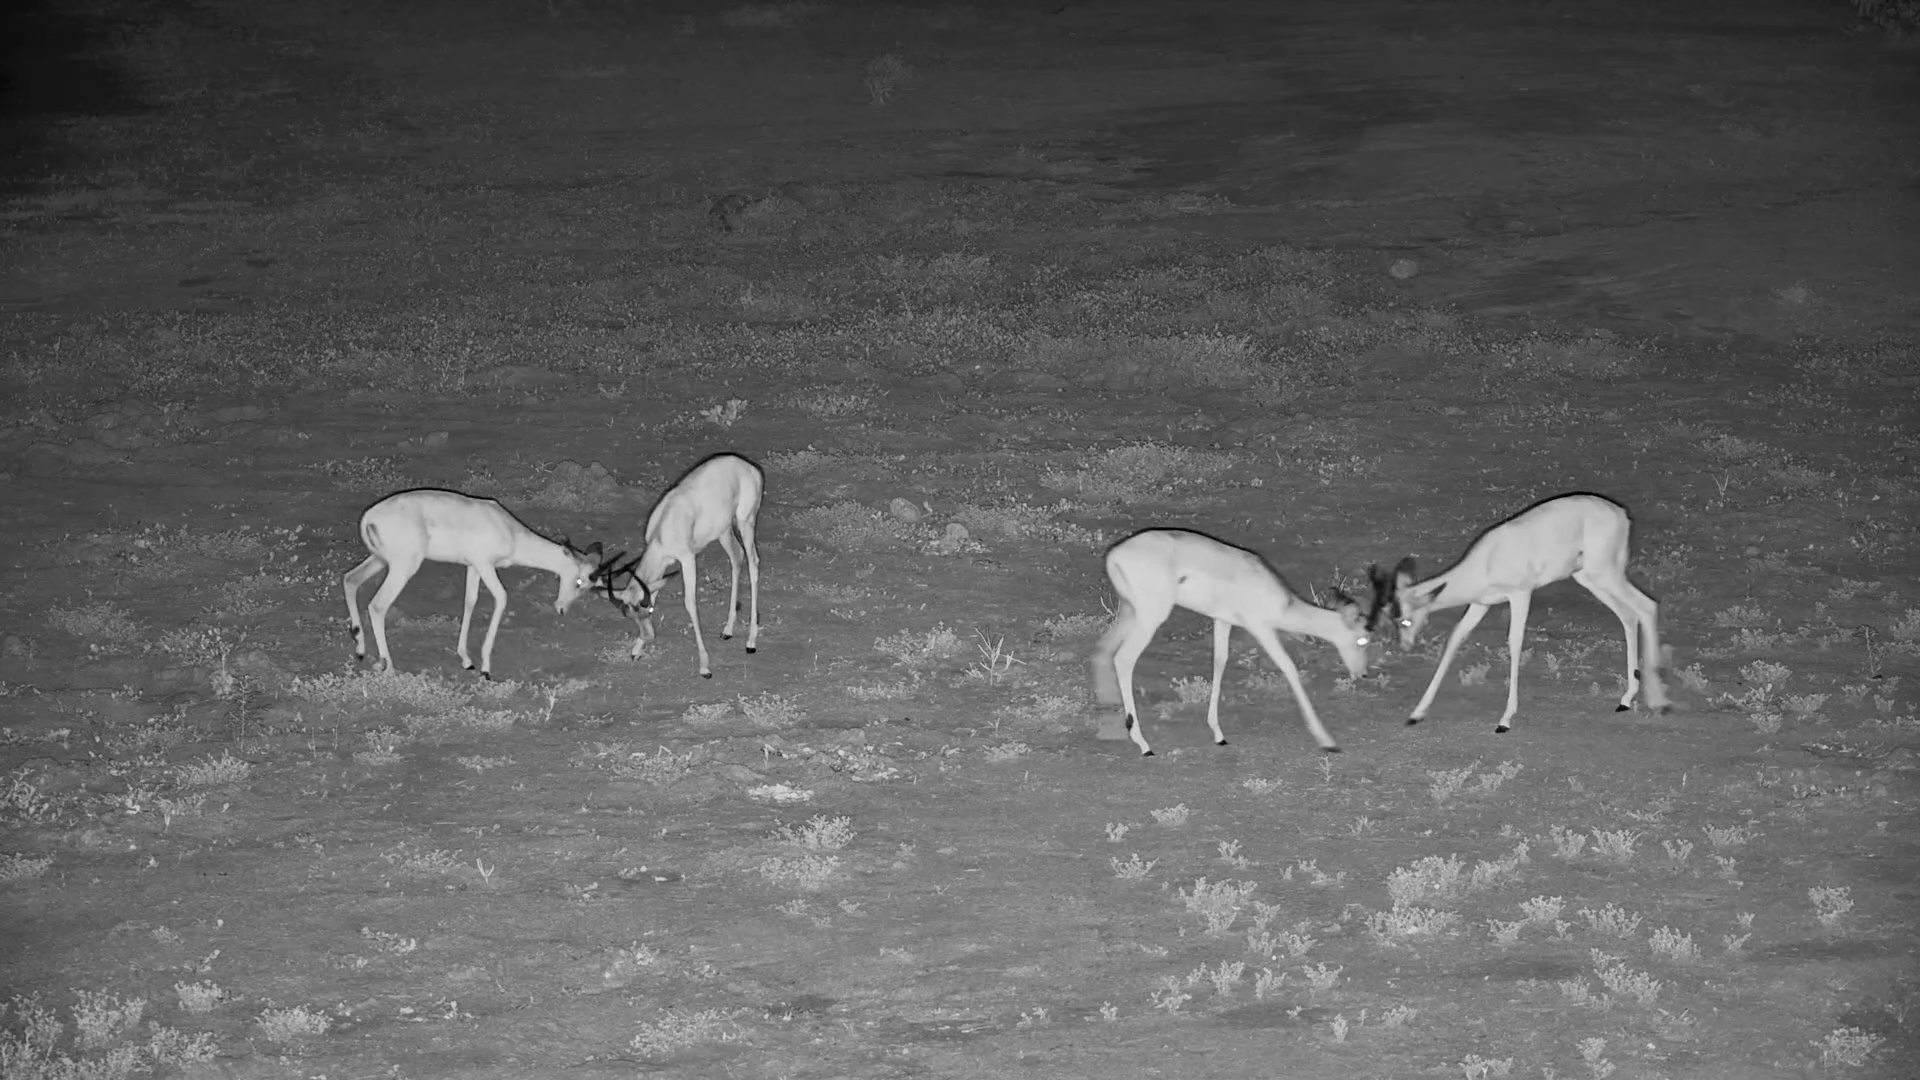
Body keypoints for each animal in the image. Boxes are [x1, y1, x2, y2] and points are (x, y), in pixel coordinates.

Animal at [342, 489, 601, 679]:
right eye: (578, 581)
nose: (562, 608)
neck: (511, 533)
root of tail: (369, 518)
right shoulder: (484, 563)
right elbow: (501, 597)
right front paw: (486, 668)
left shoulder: (473, 567)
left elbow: (470, 602)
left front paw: (466, 660)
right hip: (403, 567)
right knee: (377, 605)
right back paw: (388, 666)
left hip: (380, 560)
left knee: (350, 579)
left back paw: (360, 649)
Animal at [596, 453, 762, 678]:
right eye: (632, 615)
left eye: (647, 611)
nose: (648, 636)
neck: (664, 529)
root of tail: (750, 468)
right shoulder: (663, 566)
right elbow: (655, 593)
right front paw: (636, 650)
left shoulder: (687, 558)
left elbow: (690, 603)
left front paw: (705, 667)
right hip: (724, 531)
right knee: (737, 558)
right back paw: (727, 630)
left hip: (746, 522)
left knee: (753, 562)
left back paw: (751, 642)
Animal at [1089, 528, 1373, 757]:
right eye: (1362, 639)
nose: (1362, 674)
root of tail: (1114, 555)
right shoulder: (1261, 627)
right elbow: (1289, 668)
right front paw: (1327, 741)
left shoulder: (1222, 620)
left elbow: (1220, 662)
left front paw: (1218, 734)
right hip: (1150, 617)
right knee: (1123, 658)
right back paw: (1143, 744)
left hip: (1130, 613)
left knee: (1102, 651)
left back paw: (1110, 730)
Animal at [1384, 492, 1670, 732]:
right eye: (1393, 617)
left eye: (1405, 621)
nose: (1405, 646)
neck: (1487, 561)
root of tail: (1621, 513)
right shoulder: (1480, 603)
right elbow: (1455, 638)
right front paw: (1416, 713)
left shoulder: (1520, 594)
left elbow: (1514, 642)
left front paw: (1505, 720)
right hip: (1590, 578)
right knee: (1628, 615)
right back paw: (1626, 699)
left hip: (1605, 573)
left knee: (1647, 606)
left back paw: (1658, 702)